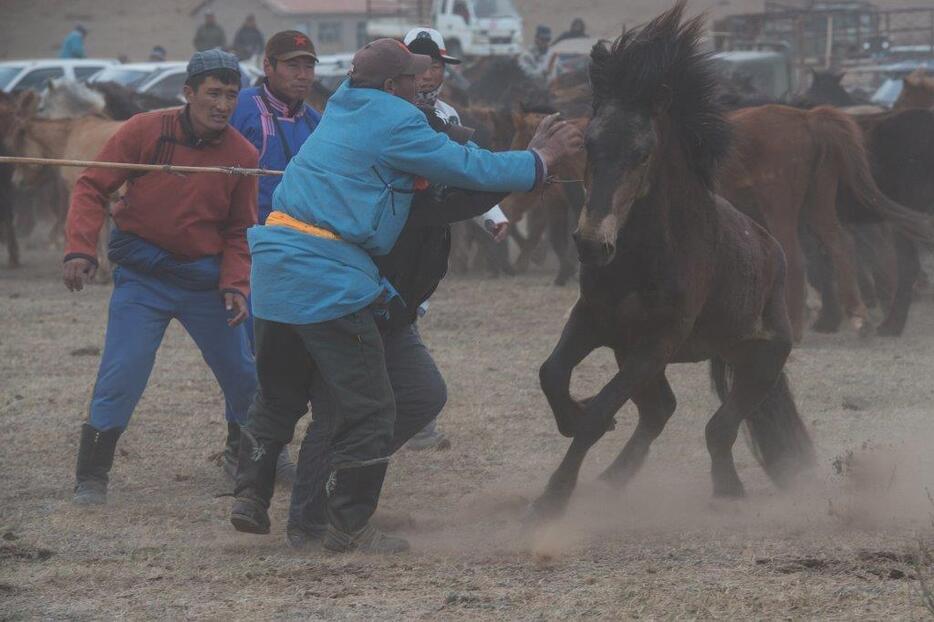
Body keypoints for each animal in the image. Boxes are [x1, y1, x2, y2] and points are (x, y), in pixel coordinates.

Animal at [532, 2, 816, 524]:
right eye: (587, 143)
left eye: (642, 152)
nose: (591, 244)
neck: (644, 255)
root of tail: (773, 253)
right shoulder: (596, 322)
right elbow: (553, 374)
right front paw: (573, 417)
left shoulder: (656, 343)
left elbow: (603, 410)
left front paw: (553, 496)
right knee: (660, 410)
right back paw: (612, 480)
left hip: (762, 361)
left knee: (718, 427)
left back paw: (727, 488)